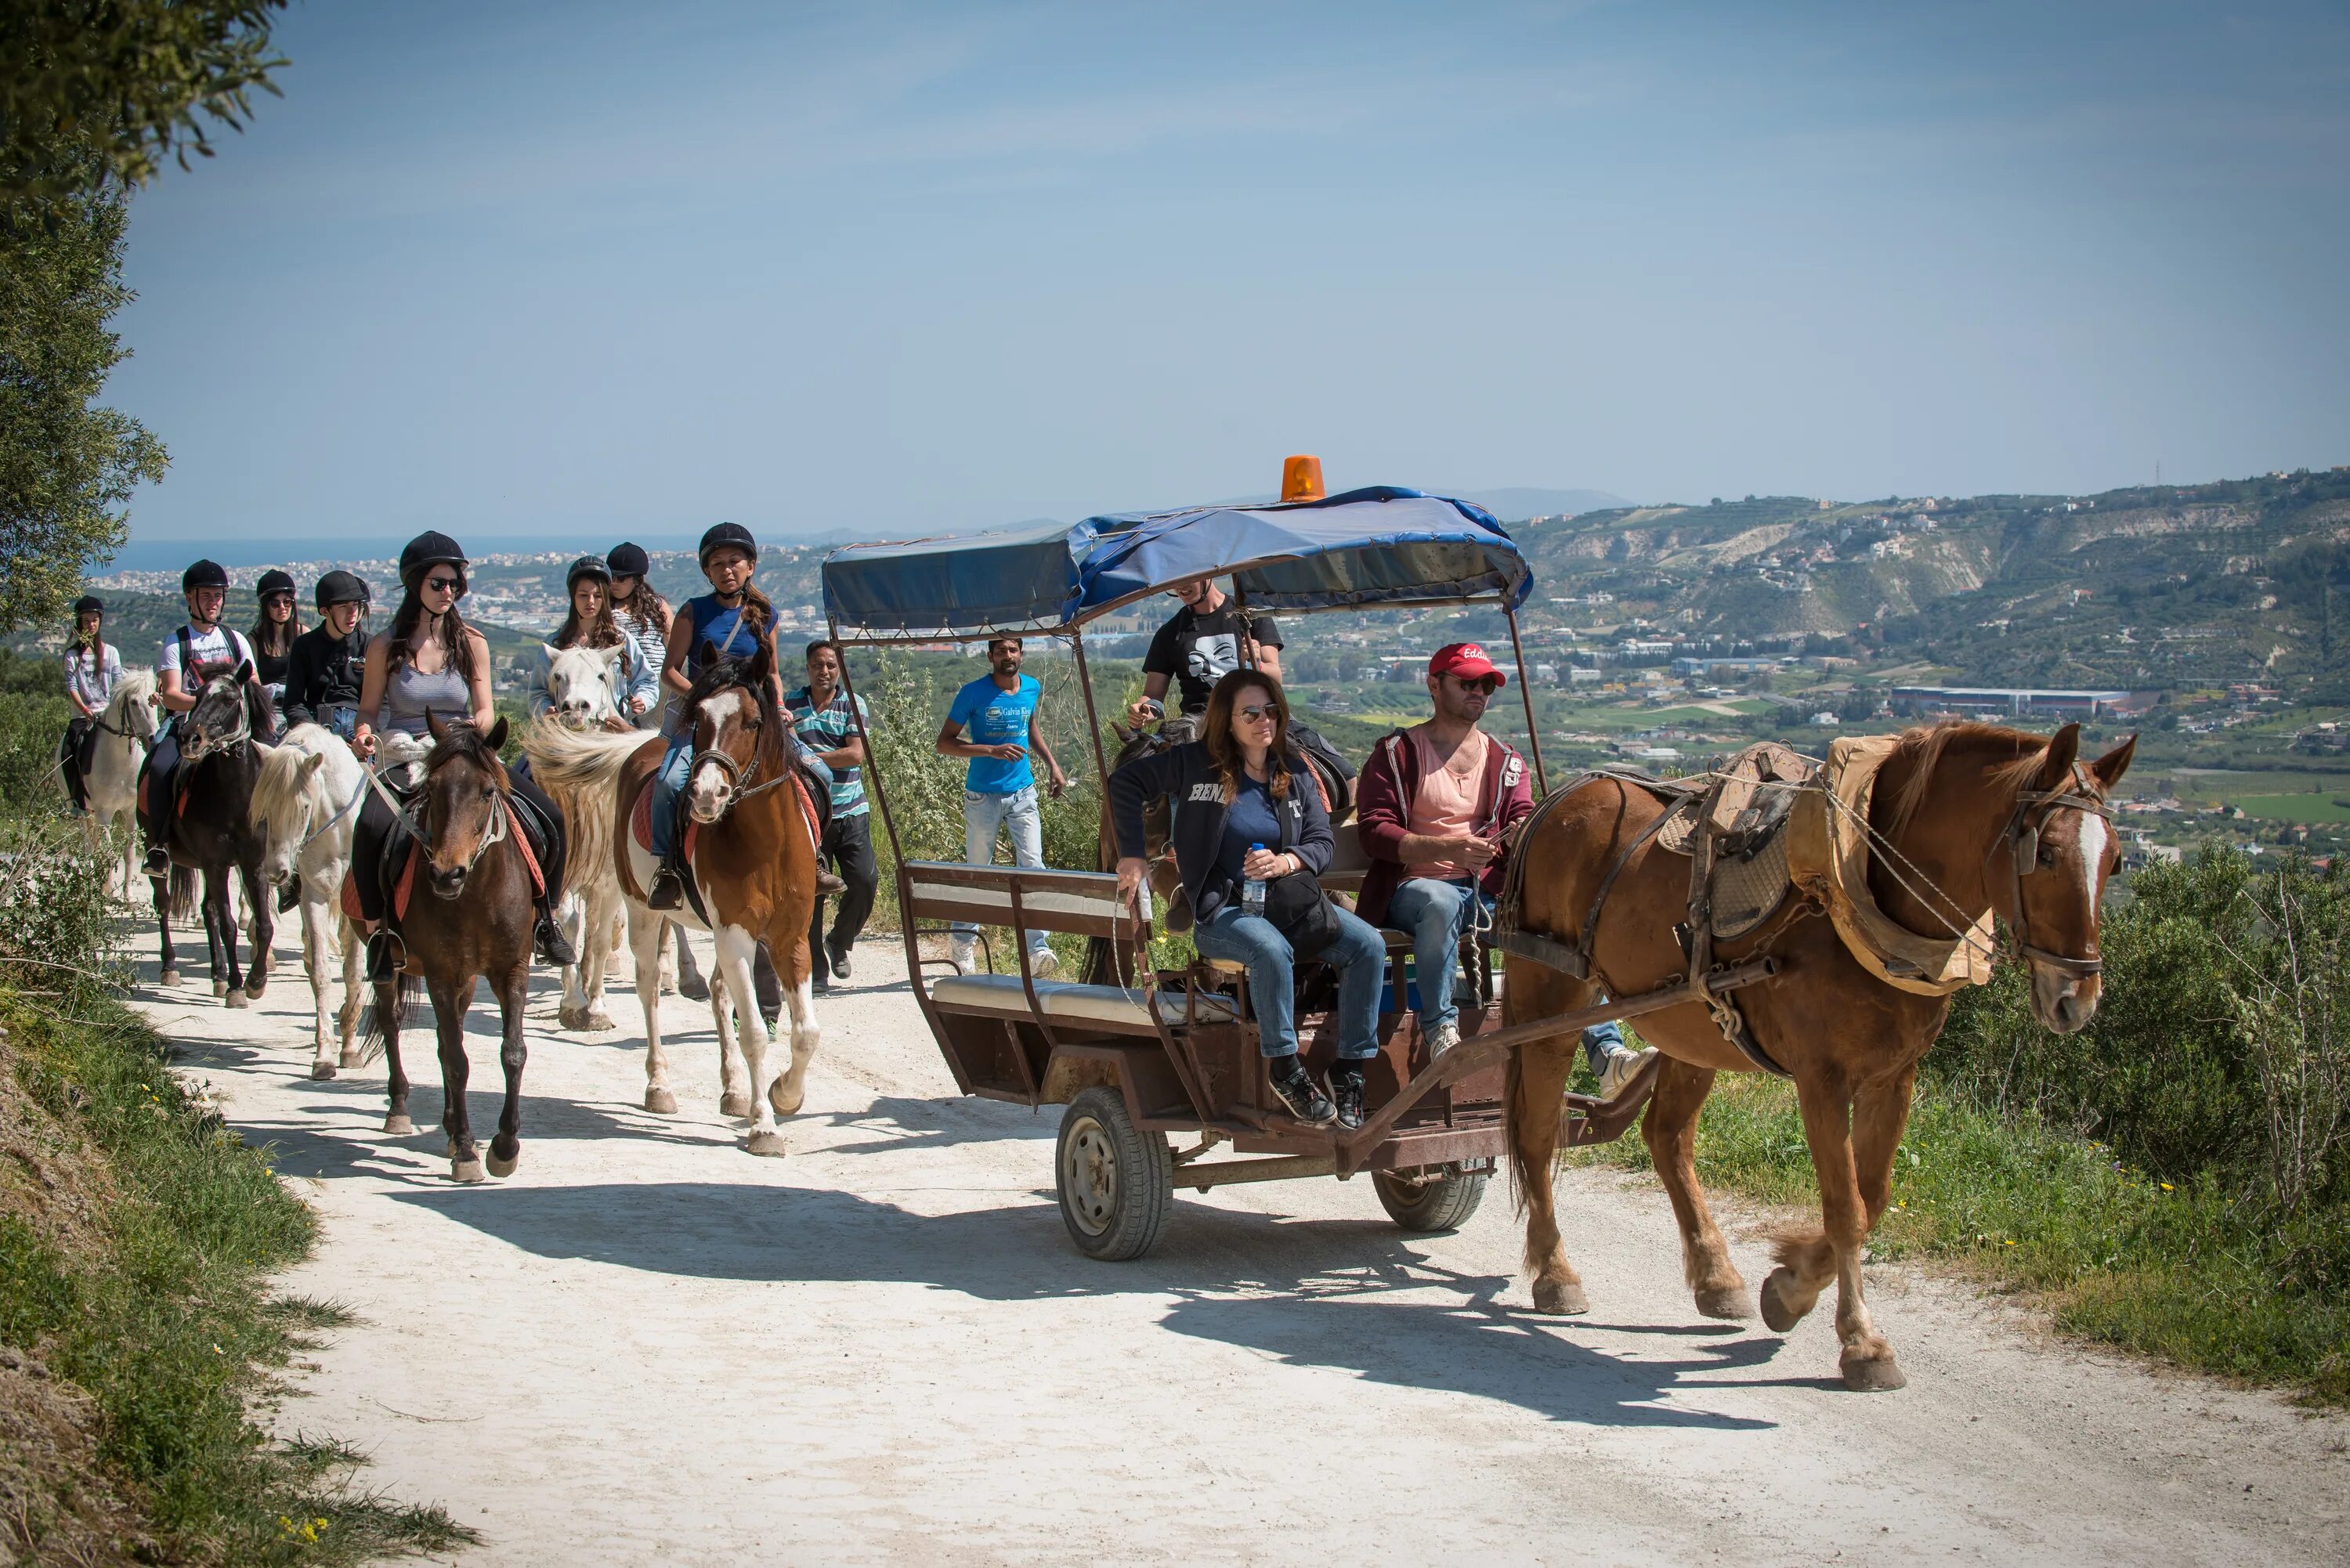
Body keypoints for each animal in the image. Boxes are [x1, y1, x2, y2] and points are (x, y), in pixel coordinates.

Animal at [80, 667, 156, 902]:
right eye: (134, 702)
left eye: (155, 699)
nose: (152, 737)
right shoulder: (104, 812)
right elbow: (108, 852)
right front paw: (107, 891)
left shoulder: (130, 811)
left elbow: (128, 852)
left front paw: (128, 896)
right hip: (80, 810)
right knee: (88, 846)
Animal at [155, 667, 280, 1001]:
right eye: (197, 696)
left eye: (229, 699)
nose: (189, 738)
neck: (235, 798)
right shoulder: (216, 864)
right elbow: (228, 925)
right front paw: (238, 986)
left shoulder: (252, 865)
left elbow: (264, 925)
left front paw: (256, 981)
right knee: (164, 905)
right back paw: (170, 967)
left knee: (208, 910)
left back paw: (218, 974)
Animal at [251, 728, 367, 1081]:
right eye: (265, 807)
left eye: (304, 806)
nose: (275, 871)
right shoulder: (314, 896)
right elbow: (320, 972)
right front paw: (324, 1055)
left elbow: (354, 971)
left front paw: (350, 1049)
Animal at [369, 719, 543, 1184]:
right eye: (432, 788)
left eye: (487, 791)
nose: (447, 874)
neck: (476, 894)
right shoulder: (442, 974)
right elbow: (457, 1060)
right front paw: (466, 1151)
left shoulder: (512, 968)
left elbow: (513, 1052)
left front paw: (505, 1146)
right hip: (390, 963)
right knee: (393, 1024)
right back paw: (400, 1109)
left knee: (449, 1036)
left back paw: (448, 1127)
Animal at [1504, 719, 2134, 1391]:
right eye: (2046, 853)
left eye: (2116, 860)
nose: (2077, 998)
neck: (1857, 891)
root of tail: (1562, 798)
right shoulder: (1821, 1078)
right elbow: (1846, 1208)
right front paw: (1861, 1342)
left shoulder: (1895, 1076)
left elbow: (1874, 1195)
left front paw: (1789, 1287)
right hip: (1549, 995)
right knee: (1538, 1132)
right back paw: (1555, 1272)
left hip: (1688, 1023)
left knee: (1666, 1138)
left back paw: (1716, 1277)